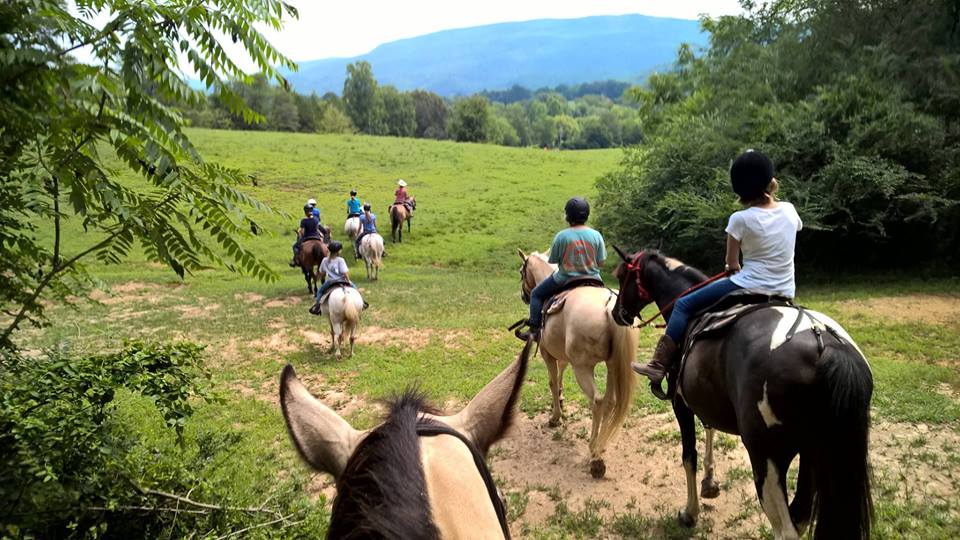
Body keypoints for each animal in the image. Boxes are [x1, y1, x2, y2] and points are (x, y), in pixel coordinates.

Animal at [516, 249, 636, 476]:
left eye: (521, 271)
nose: (525, 296)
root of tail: (608, 306)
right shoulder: (562, 354)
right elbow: (561, 373)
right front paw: (562, 399)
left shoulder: (546, 352)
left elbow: (552, 382)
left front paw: (555, 417)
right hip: (612, 366)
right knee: (610, 402)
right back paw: (601, 444)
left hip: (582, 368)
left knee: (597, 401)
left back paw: (595, 455)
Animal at [612, 249, 872, 540]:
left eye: (621, 276)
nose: (616, 313)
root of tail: (823, 342)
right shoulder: (706, 398)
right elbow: (710, 429)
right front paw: (709, 483)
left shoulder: (681, 404)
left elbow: (688, 456)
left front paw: (690, 513)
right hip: (816, 454)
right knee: (801, 517)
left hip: (767, 458)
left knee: (786, 529)